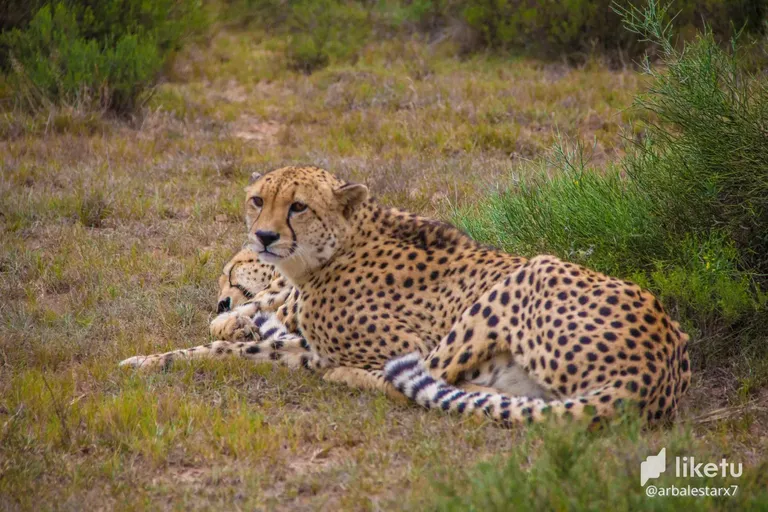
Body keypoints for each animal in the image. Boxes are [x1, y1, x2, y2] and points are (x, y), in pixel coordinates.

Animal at [121, 166, 688, 426]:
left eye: (298, 206)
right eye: (258, 200)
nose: (263, 236)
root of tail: (656, 372)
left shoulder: (382, 344)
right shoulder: (304, 344)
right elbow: (221, 349)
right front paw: (147, 363)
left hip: (527, 274)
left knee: (417, 381)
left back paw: (348, 378)